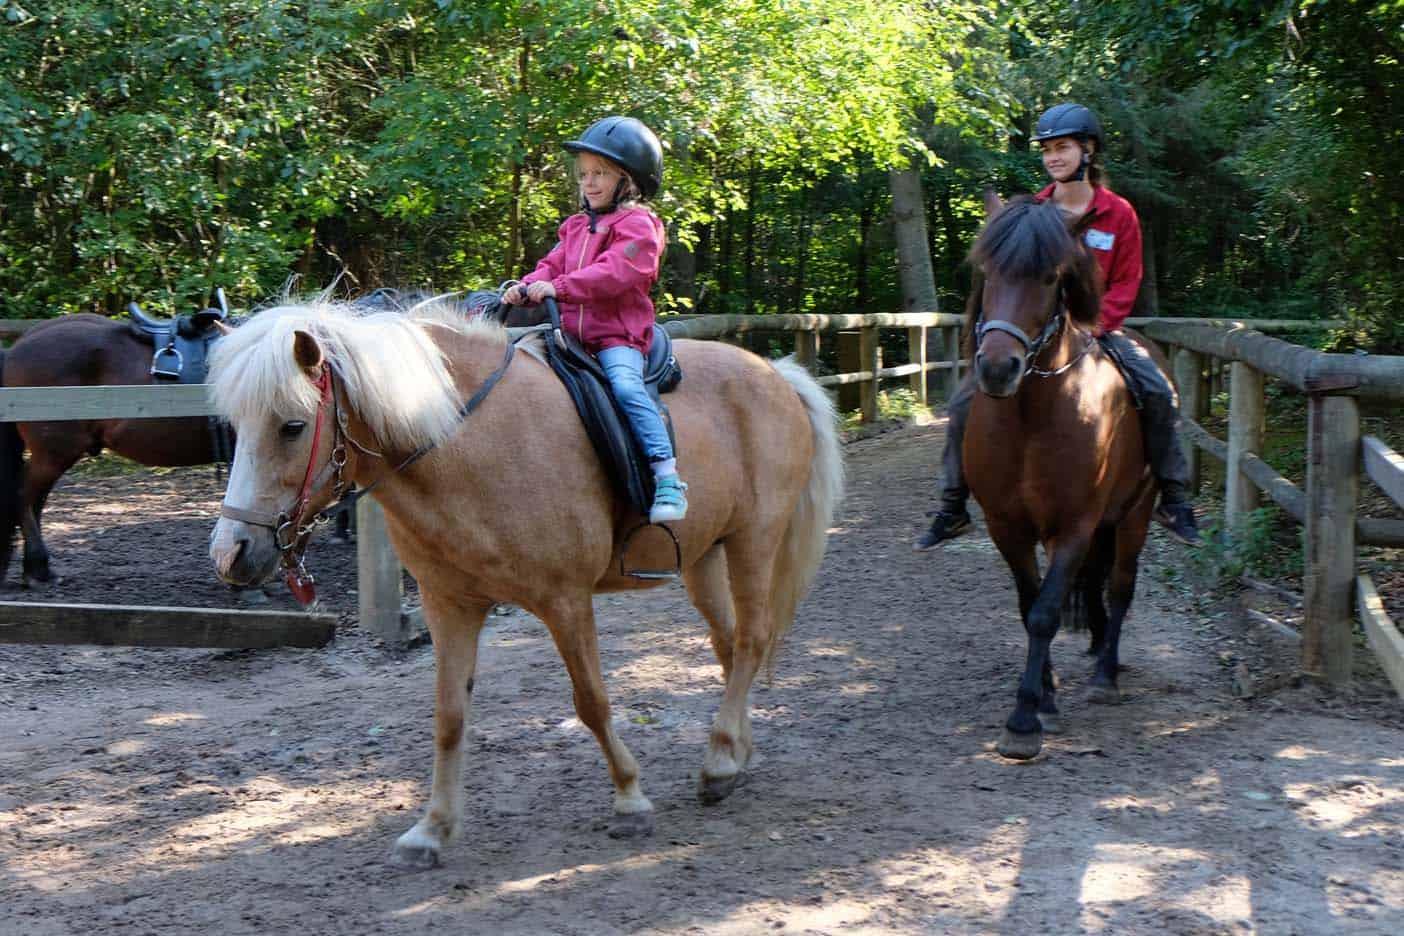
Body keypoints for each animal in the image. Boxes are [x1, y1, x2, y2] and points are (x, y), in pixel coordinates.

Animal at [204, 296, 842, 870]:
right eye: (235, 426)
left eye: (292, 426)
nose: (232, 554)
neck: (467, 448)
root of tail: (777, 373)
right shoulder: (449, 605)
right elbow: (448, 717)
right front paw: (431, 829)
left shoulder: (565, 600)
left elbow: (592, 702)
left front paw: (630, 800)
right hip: (703, 560)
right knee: (730, 647)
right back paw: (735, 752)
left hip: (754, 542)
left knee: (753, 639)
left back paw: (718, 763)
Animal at [965, 196, 1151, 763]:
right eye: (988, 272)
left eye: (1051, 278)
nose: (997, 368)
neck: (1032, 416)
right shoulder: (1007, 526)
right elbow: (1030, 606)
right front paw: (1044, 694)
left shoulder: (1075, 526)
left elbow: (1046, 613)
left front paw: (1024, 719)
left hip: (1136, 514)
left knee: (1120, 587)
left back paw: (1106, 674)